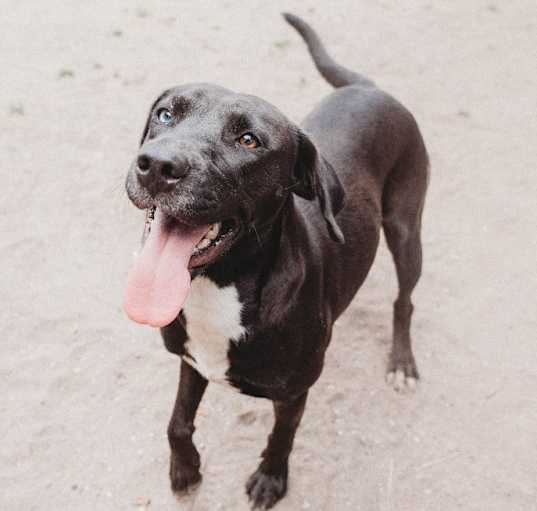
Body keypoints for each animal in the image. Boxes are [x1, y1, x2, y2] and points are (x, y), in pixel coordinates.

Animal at [122, 13, 428, 511]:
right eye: (166, 114)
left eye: (249, 140)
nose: (157, 165)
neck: (218, 287)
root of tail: (368, 88)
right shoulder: (192, 361)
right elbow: (178, 421)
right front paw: (185, 469)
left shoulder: (294, 391)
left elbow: (282, 436)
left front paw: (270, 479)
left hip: (406, 231)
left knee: (405, 300)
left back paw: (401, 362)